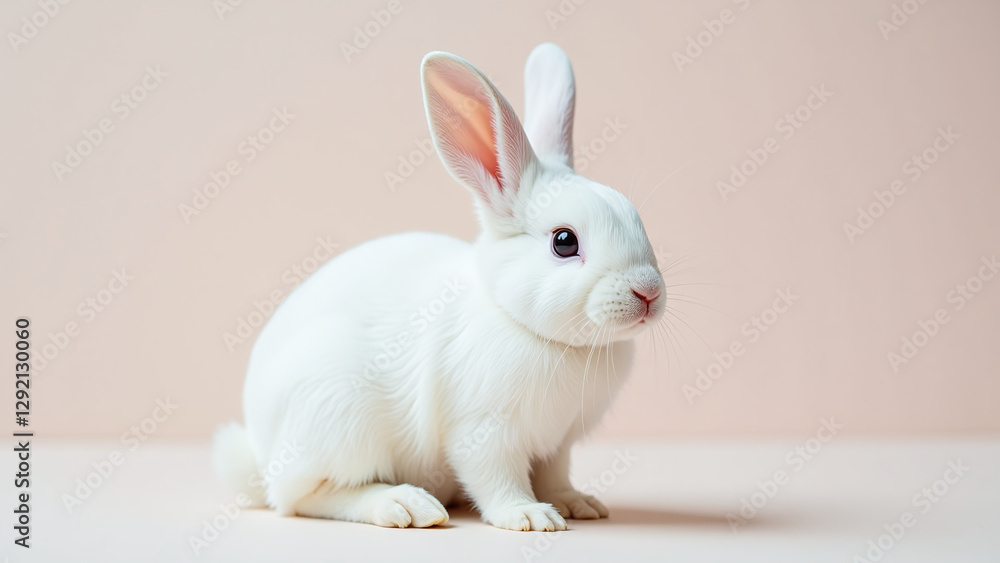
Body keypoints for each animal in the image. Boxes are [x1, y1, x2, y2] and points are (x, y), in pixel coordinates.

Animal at [212, 42, 665, 532]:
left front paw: (576, 503)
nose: (649, 293)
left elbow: (555, 476)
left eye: (637, 219)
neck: (523, 324)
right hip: (340, 421)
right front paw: (529, 516)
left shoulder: (557, 443)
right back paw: (406, 505)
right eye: (565, 242)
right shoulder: (483, 431)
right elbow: (496, 479)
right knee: (307, 497)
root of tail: (262, 457)